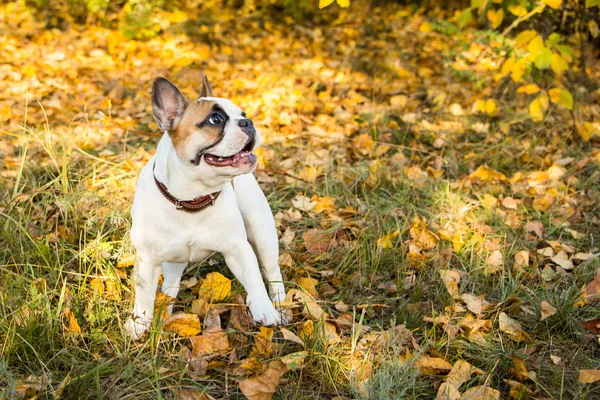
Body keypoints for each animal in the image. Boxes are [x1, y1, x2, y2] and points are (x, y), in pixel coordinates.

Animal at [124, 73, 286, 340]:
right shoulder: (147, 260)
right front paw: (140, 322)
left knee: (272, 272)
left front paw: (263, 307)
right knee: (170, 284)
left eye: (242, 113)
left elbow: (254, 277)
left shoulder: (238, 249)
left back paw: (279, 303)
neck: (191, 198)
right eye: (215, 119)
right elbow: (144, 295)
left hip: (262, 232)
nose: (248, 122)